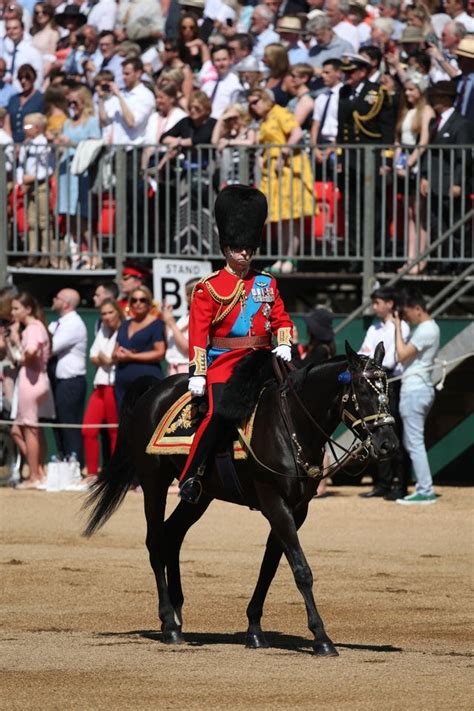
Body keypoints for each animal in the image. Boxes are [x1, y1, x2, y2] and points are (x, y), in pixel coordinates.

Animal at [84, 342, 396, 660]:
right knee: (156, 541)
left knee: (173, 536)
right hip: (154, 483)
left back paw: (177, 615)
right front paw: (321, 637)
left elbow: (269, 567)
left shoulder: (296, 509)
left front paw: (255, 629)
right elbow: (301, 569)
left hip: (200, 496)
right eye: (363, 389)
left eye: (387, 389)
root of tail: (155, 389)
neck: (291, 424)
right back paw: (169, 623)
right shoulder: (274, 502)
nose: (389, 444)